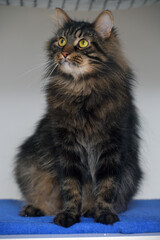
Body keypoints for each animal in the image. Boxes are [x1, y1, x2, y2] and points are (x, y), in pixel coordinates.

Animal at [14, 8, 142, 228]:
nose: (64, 53)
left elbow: (106, 188)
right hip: (31, 169)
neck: (80, 89)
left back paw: (90, 210)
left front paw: (104, 213)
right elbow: (71, 188)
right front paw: (69, 215)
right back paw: (35, 209)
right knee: (46, 198)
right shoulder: (67, 148)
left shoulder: (112, 147)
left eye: (83, 43)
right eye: (61, 40)